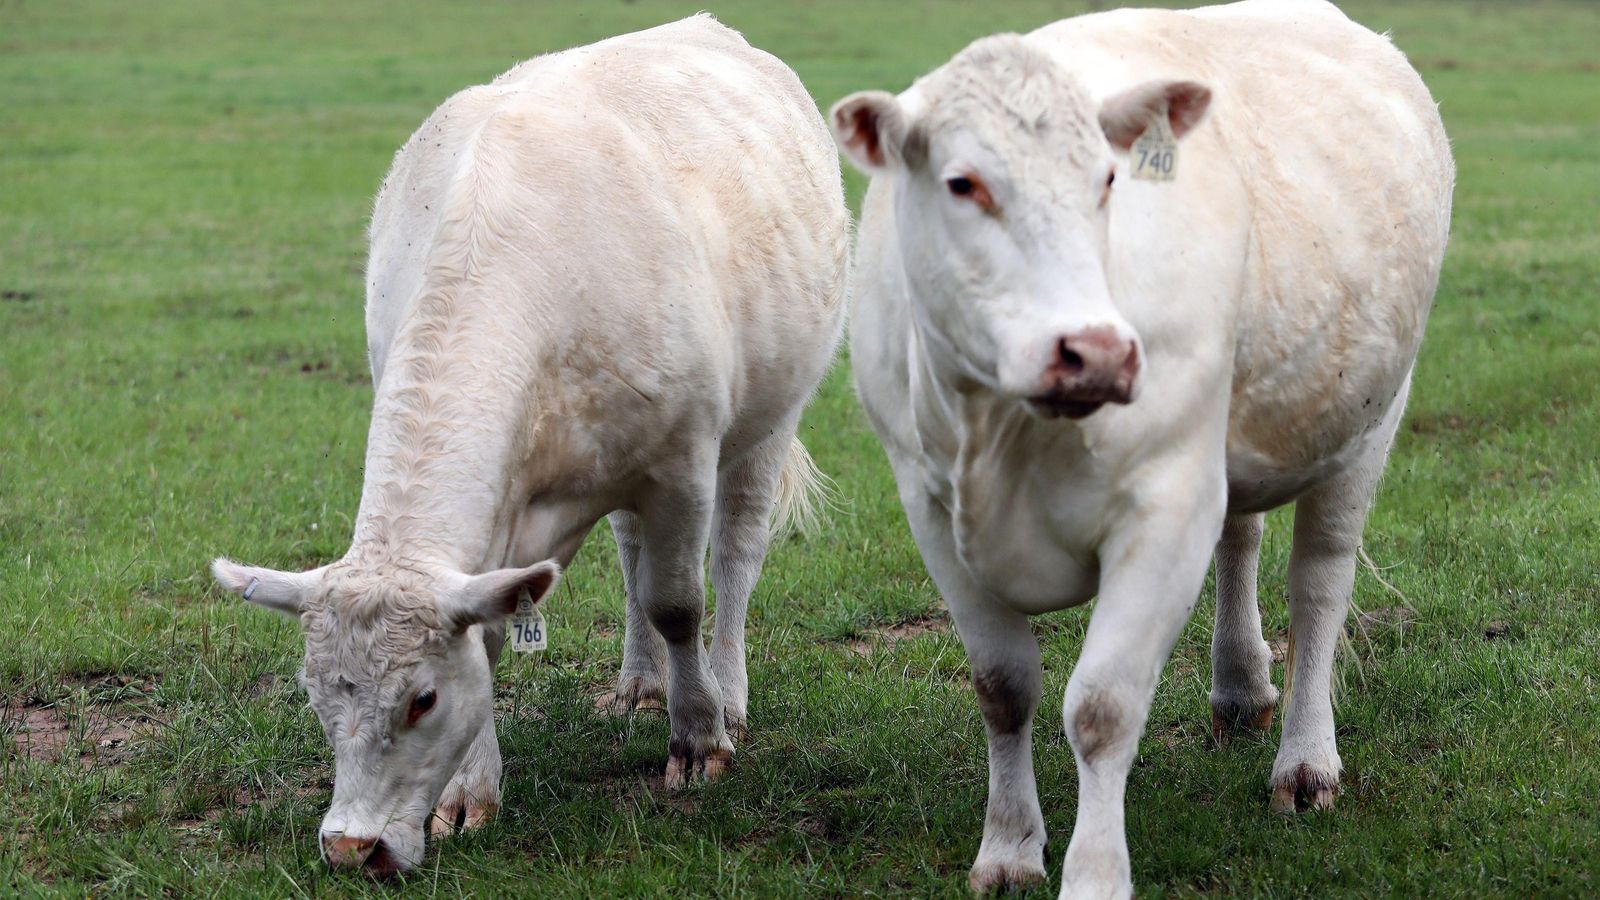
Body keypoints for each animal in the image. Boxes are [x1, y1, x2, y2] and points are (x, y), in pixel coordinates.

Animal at [209, 15, 848, 877]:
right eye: (314, 696)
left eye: (422, 698)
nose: (352, 847)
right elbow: (506, 629)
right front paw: (467, 794)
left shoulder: (681, 462)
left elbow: (679, 602)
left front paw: (699, 738)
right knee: (631, 553)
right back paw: (638, 684)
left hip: (770, 420)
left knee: (735, 558)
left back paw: (730, 693)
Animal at [830, 0, 1452, 895]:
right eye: (962, 182)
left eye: (1108, 180)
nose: (1095, 351)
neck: (1003, 433)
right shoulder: (928, 504)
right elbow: (1002, 687)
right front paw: (1009, 849)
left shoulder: (1165, 502)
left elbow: (1101, 708)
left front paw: (1094, 874)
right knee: (1242, 537)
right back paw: (1240, 685)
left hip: (1368, 422)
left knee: (1319, 587)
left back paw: (1306, 763)